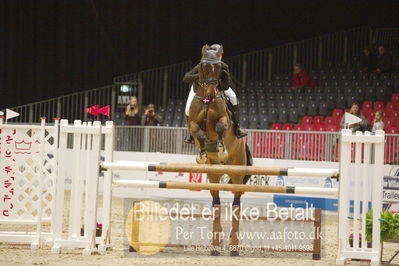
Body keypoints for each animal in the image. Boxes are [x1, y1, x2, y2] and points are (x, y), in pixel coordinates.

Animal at [187, 44, 250, 256]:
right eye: (203, 67)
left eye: (219, 68)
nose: (211, 90)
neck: (207, 100)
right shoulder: (192, 124)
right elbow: (198, 133)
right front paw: (202, 153)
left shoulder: (224, 120)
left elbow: (221, 127)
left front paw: (221, 148)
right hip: (213, 175)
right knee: (216, 202)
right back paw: (218, 242)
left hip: (237, 171)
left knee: (236, 201)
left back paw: (233, 244)